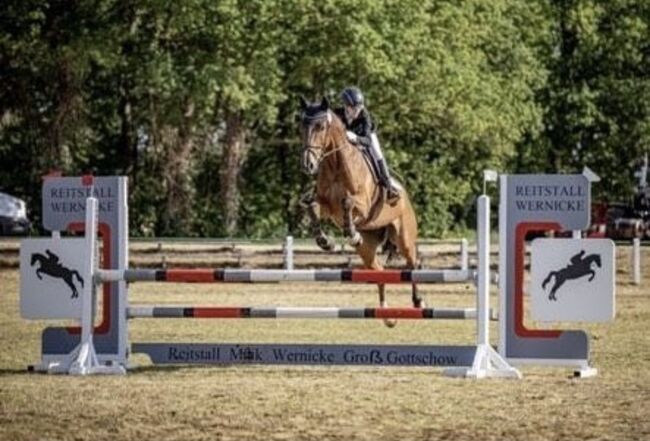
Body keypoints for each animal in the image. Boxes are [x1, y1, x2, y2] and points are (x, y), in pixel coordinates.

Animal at [298, 98, 422, 324]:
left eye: (320, 126)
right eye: (302, 125)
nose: (308, 164)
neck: (335, 164)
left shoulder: (362, 205)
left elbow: (347, 202)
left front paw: (351, 234)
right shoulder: (327, 207)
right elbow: (312, 207)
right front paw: (325, 241)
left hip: (404, 238)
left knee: (412, 265)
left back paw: (418, 302)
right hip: (368, 248)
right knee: (379, 270)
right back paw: (387, 315)